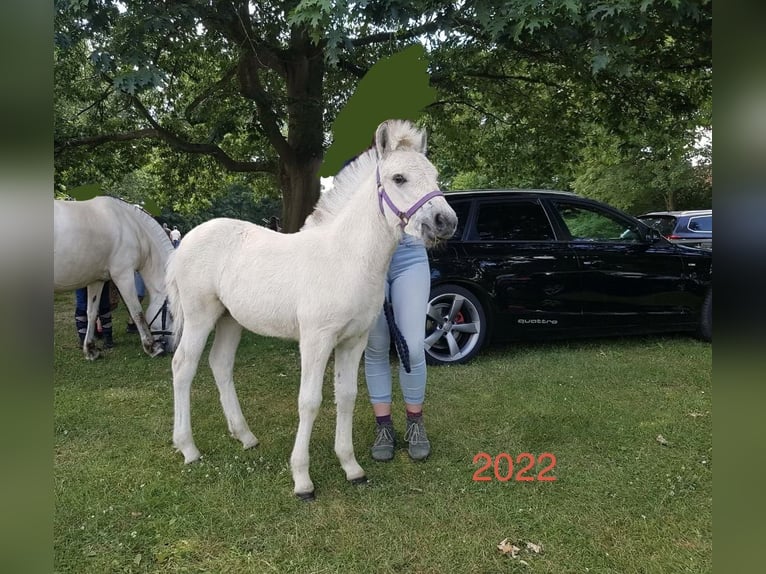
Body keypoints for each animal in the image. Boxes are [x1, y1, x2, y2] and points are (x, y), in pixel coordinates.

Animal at [53, 196, 175, 360]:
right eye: (171, 315)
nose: (171, 347)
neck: (131, 227)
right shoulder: (123, 276)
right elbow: (137, 312)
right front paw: (152, 348)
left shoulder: (97, 281)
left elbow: (92, 312)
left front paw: (90, 349)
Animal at [167, 119, 458, 500]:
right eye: (399, 178)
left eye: (435, 176)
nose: (445, 221)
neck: (346, 257)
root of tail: (186, 240)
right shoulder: (316, 341)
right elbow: (309, 401)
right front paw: (302, 479)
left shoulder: (353, 341)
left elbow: (346, 397)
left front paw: (351, 467)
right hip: (200, 316)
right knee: (183, 367)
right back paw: (188, 448)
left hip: (230, 319)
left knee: (220, 365)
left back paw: (245, 436)